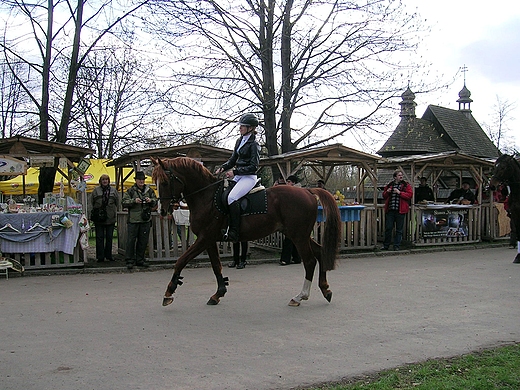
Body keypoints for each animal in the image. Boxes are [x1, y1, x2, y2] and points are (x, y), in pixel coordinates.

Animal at [150, 157, 342, 306]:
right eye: (155, 181)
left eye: (165, 182)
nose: (162, 211)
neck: (206, 197)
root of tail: (308, 191)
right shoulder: (209, 240)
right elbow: (216, 265)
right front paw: (218, 293)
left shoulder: (204, 238)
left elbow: (181, 261)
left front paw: (169, 292)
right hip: (298, 235)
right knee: (320, 253)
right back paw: (325, 290)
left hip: (298, 236)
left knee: (309, 261)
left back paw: (300, 296)